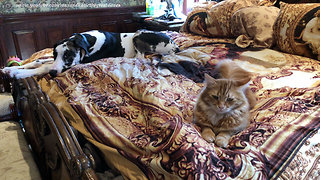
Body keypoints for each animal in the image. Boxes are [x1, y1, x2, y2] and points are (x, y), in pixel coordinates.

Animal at [1, 29, 179, 79]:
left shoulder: (74, 64)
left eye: (68, 56)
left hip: (138, 35)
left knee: (140, 58)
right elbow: (39, 61)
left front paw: (17, 73)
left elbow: (44, 67)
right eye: (55, 54)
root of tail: (175, 45)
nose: (53, 73)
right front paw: (12, 68)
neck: (86, 40)